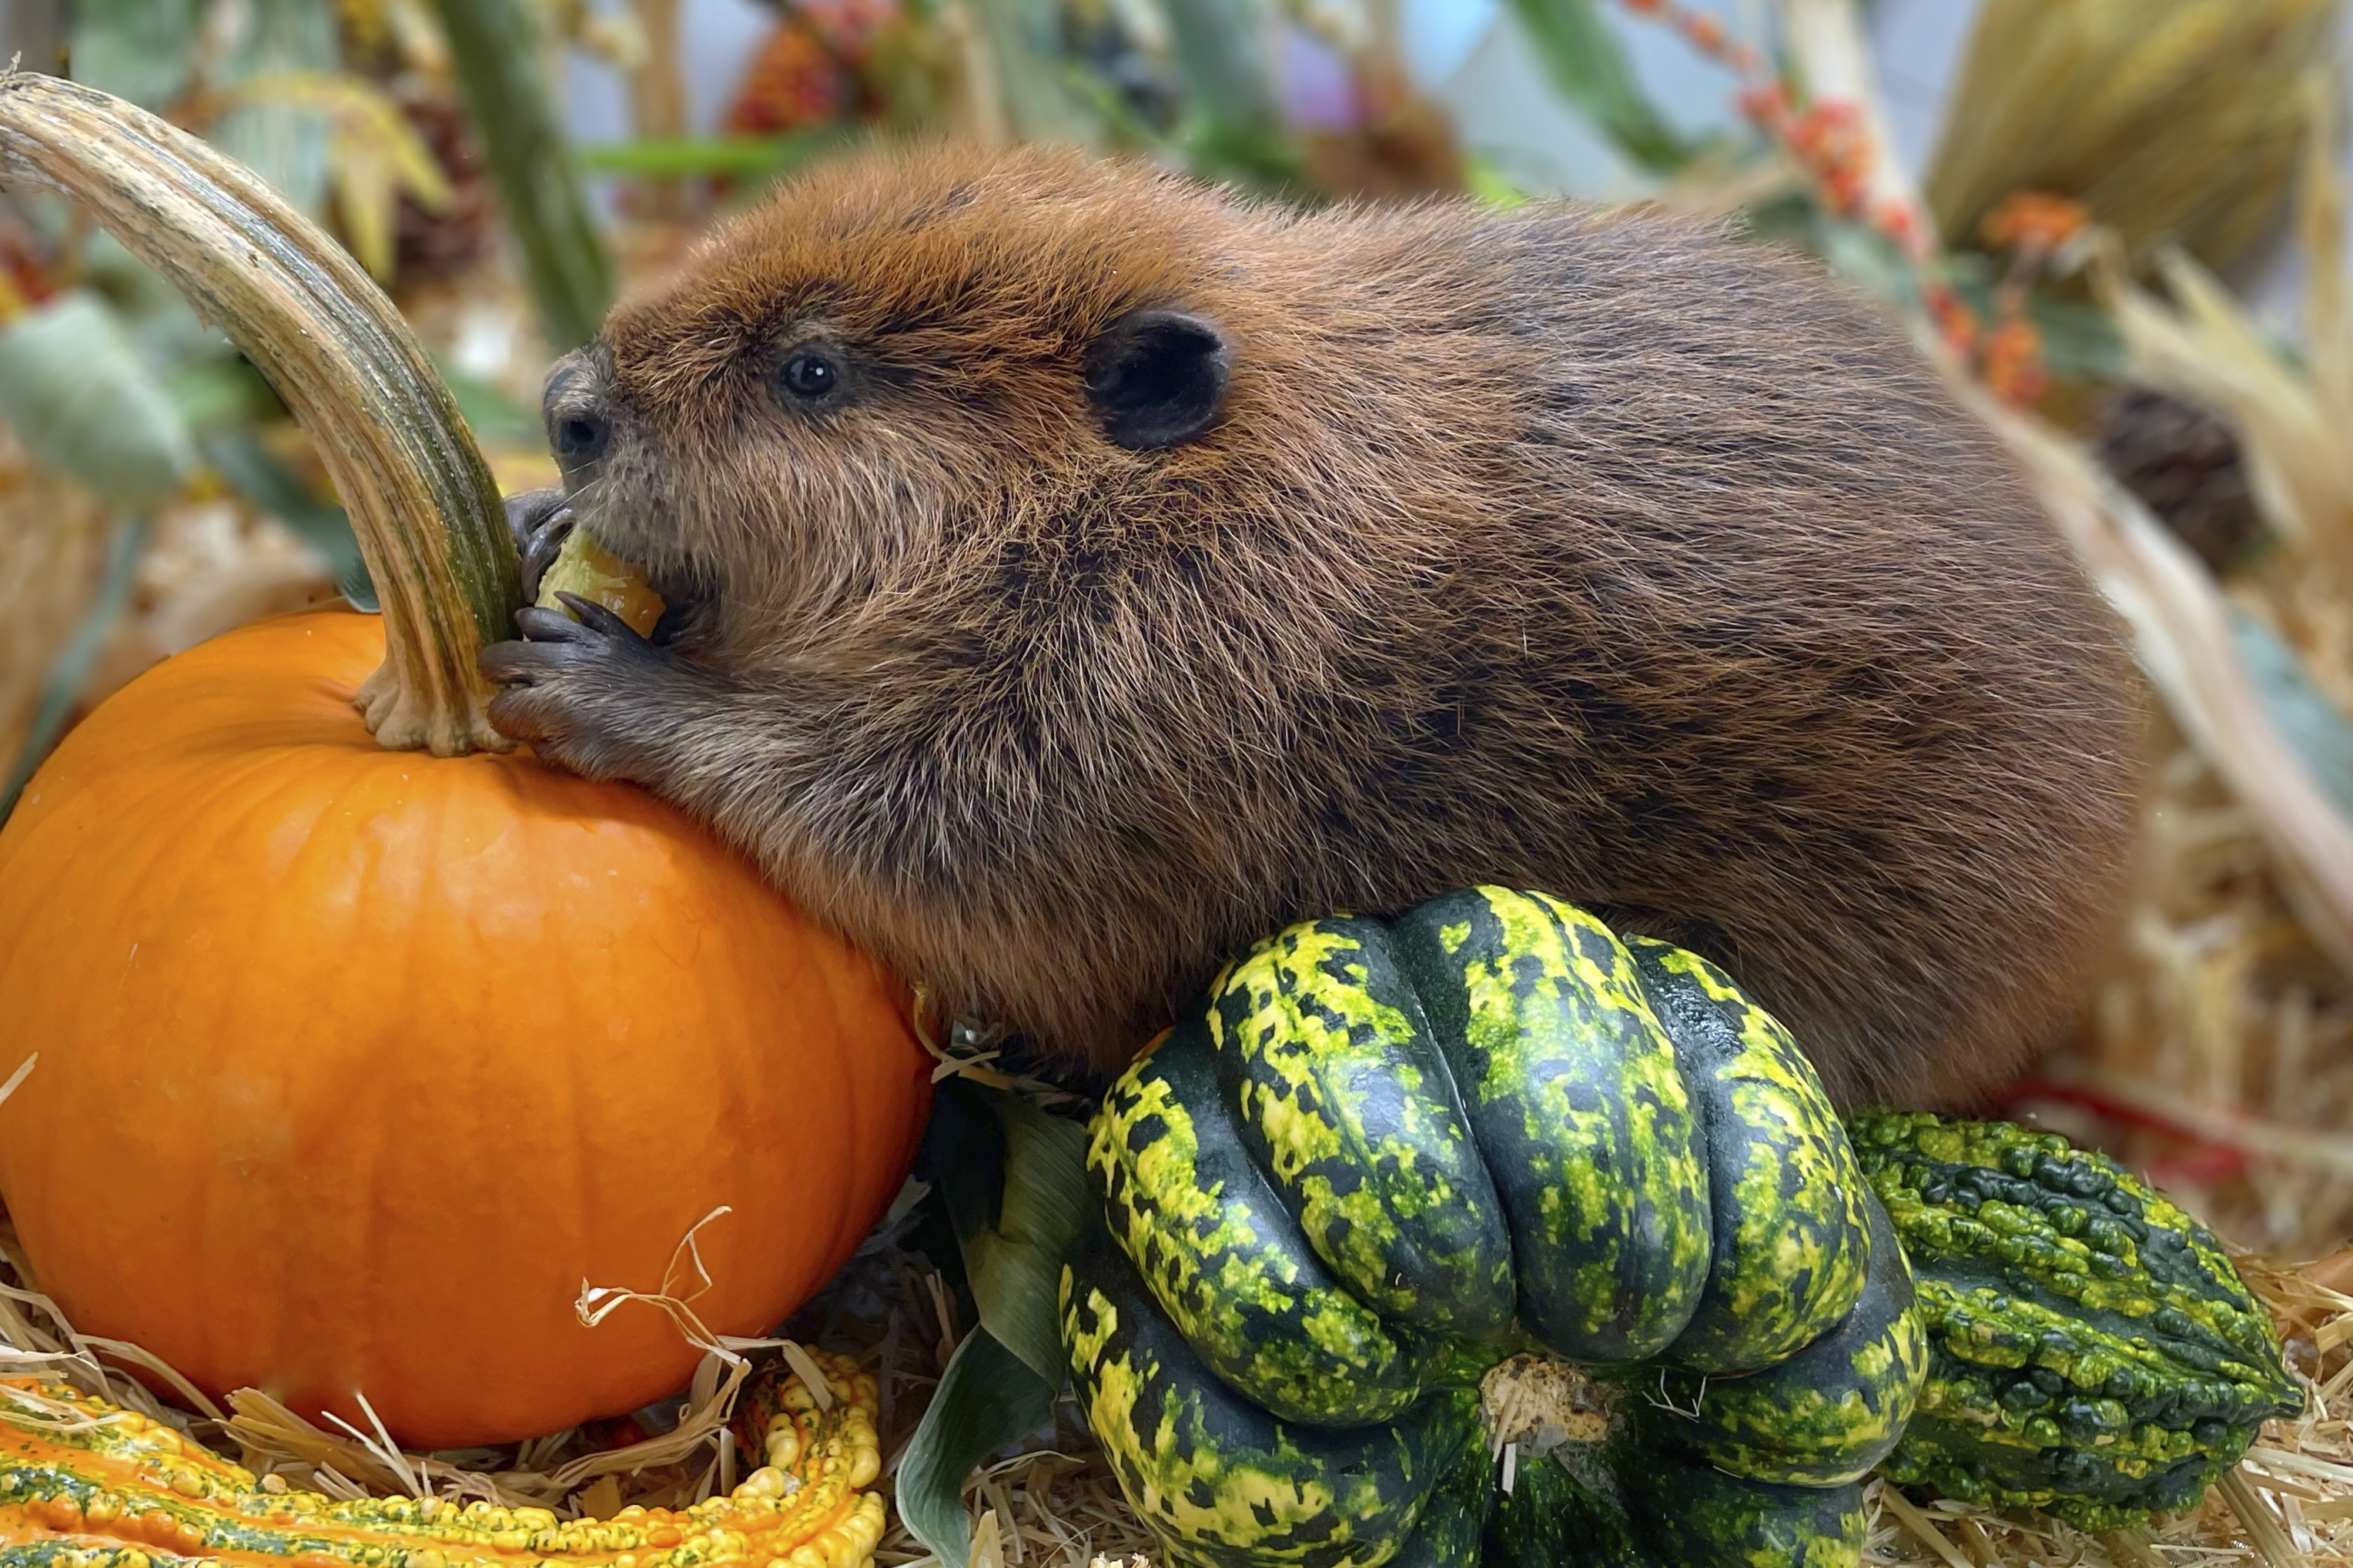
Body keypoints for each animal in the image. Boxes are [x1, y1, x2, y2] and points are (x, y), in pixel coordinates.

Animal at [473, 144, 2136, 1105]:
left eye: (812, 370)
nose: (567, 404)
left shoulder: (1149, 713)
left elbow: (927, 837)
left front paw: (590, 673)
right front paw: (539, 533)